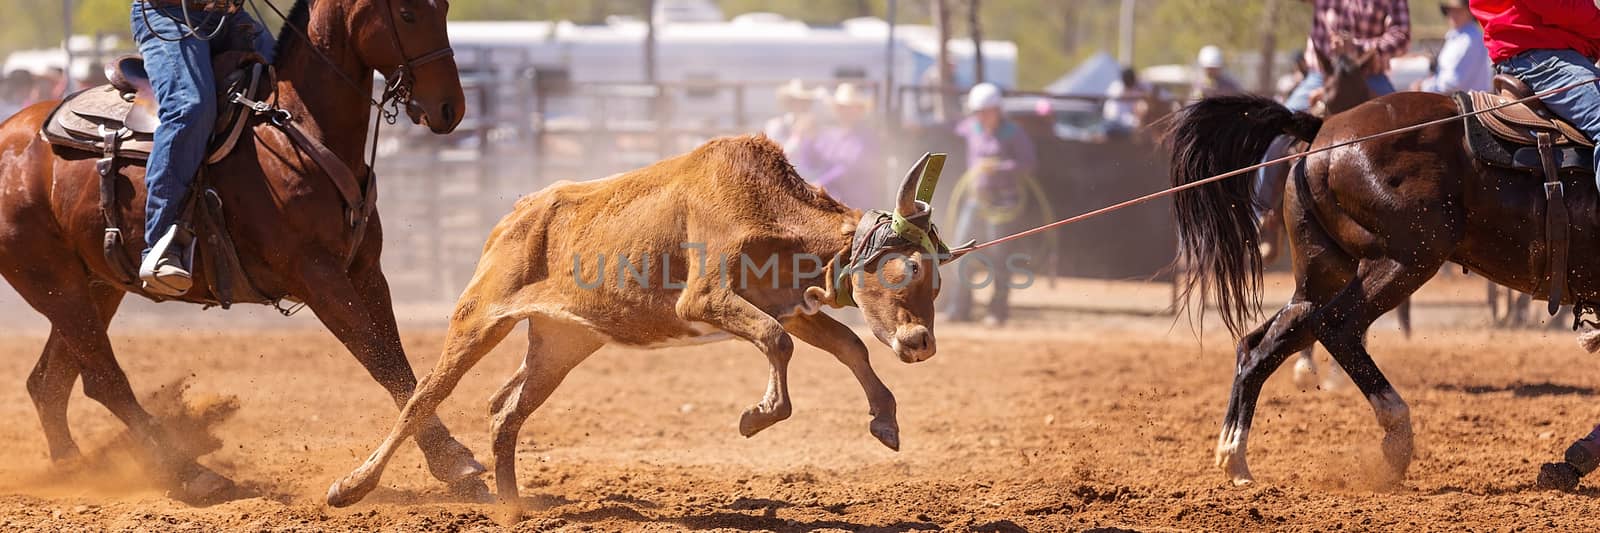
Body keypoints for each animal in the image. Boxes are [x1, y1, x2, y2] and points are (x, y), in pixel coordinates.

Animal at [0, 0, 486, 499]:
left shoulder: (366, 271)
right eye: (407, 14)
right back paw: (192, 474)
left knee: (51, 382)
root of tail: (11, 134)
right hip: (53, 283)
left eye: (444, 9)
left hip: (97, 285)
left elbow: (403, 365)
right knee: (104, 377)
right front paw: (450, 459)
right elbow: (381, 359)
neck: (295, 128)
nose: (449, 108)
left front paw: (450, 461)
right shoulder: (317, 276)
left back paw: (74, 469)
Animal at [1171, 84, 1593, 486]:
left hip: (1322, 276)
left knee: (1263, 343)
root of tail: (1323, 127)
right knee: (1337, 327)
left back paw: (1235, 458)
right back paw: (1397, 439)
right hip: (1406, 259)